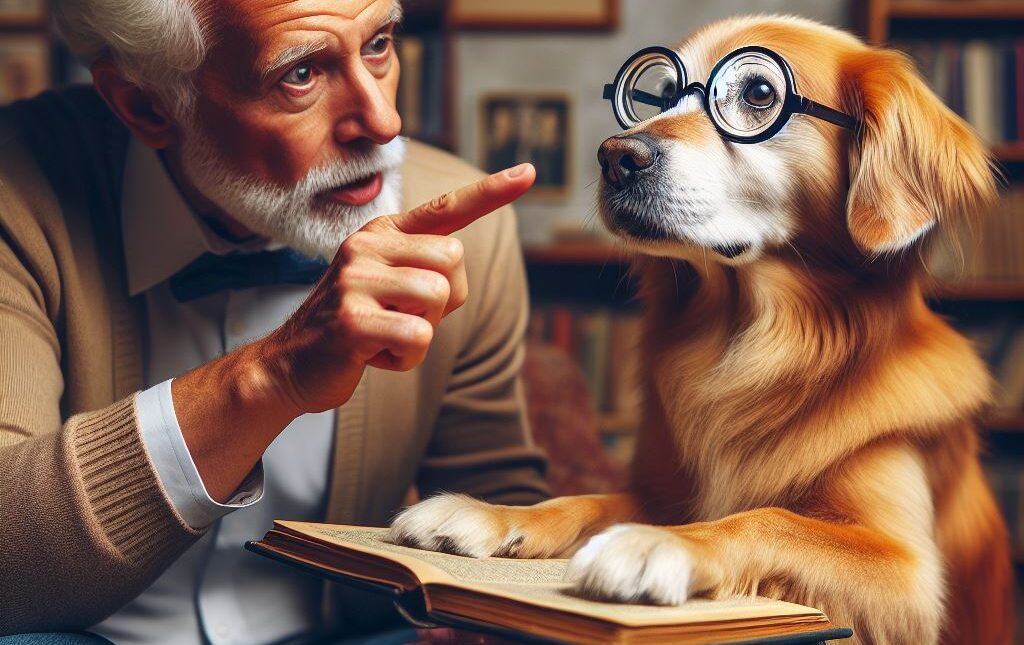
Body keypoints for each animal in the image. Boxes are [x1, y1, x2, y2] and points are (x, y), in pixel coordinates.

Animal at [389, 15, 1007, 645]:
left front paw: (659, 544)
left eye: (758, 91)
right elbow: (583, 501)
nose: (616, 156)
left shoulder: (906, 573)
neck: (754, 344)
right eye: (659, 95)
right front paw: (486, 513)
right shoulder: (659, 492)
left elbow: (767, 520)